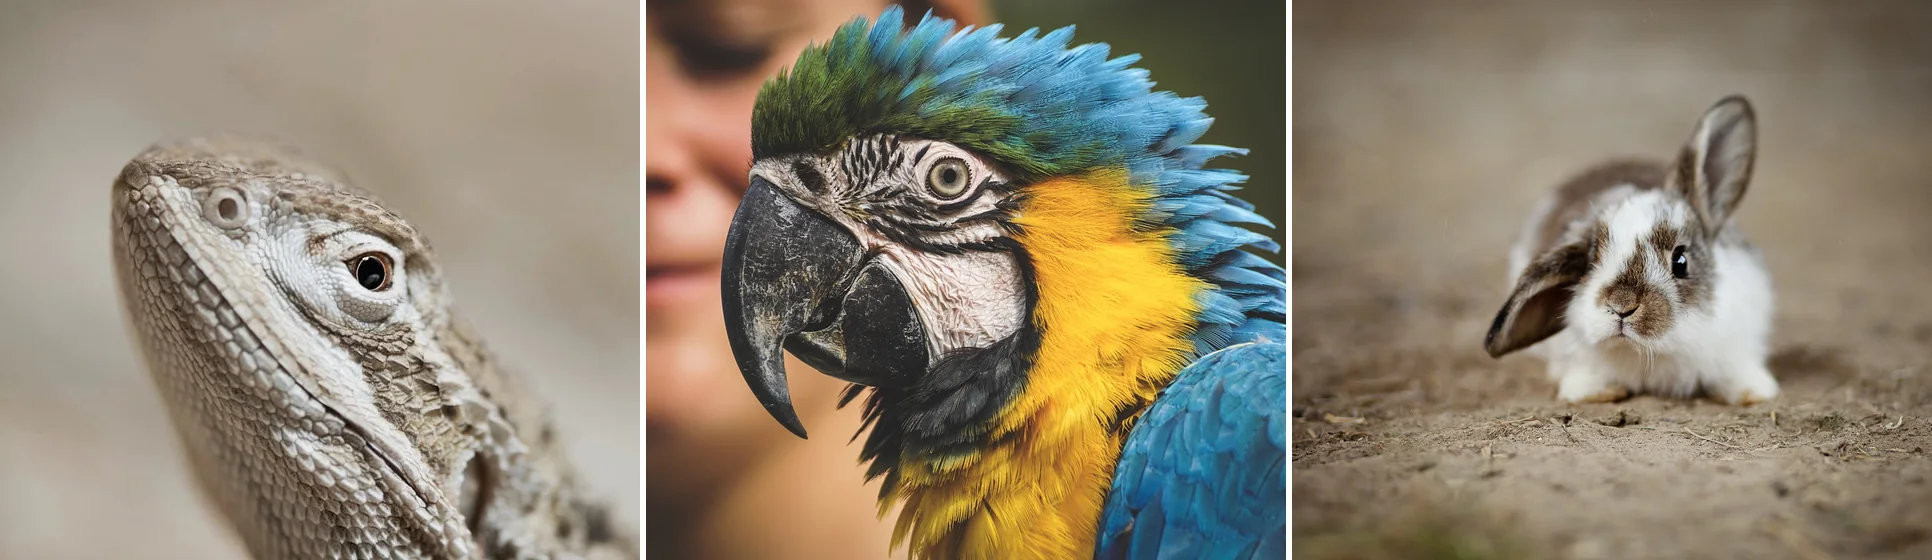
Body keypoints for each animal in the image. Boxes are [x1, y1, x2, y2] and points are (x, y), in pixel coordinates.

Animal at [1483, 95, 1777, 405]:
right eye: (1590, 261)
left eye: (1681, 261)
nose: (1621, 306)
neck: (1652, 353)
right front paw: (1598, 392)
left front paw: (1753, 392)